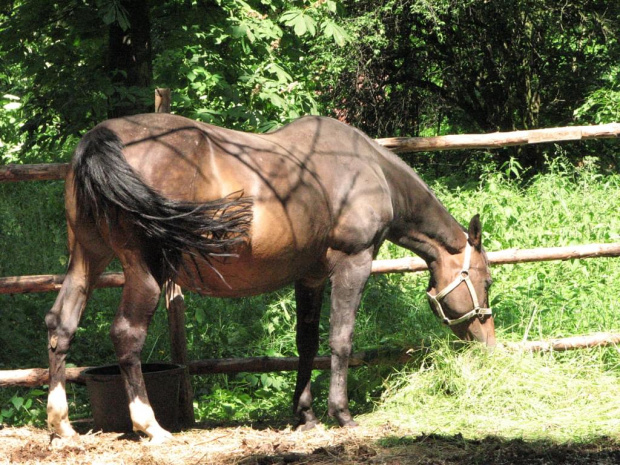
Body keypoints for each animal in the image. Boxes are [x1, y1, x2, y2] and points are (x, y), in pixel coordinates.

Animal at [46, 112, 496, 442]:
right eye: (487, 281)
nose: (489, 341)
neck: (368, 170)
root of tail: (102, 138)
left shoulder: (310, 276)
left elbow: (306, 343)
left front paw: (305, 414)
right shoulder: (354, 263)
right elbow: (341, 339)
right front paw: (341, 414)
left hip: (86, 258)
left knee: (60, 325)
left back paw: (61, 424)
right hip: (145, 271)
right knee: (126, 335)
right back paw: (150, 426)